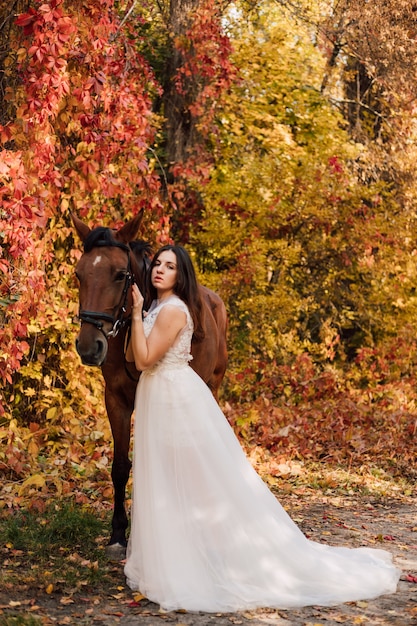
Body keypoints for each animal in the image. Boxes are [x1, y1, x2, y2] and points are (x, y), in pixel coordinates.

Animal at [71, 212, 228, 560]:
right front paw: (118, 534)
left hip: (211, 387)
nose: (89, 347)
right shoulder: (115, 399)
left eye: (119, 275)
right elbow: (120, 466)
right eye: (79, 274)